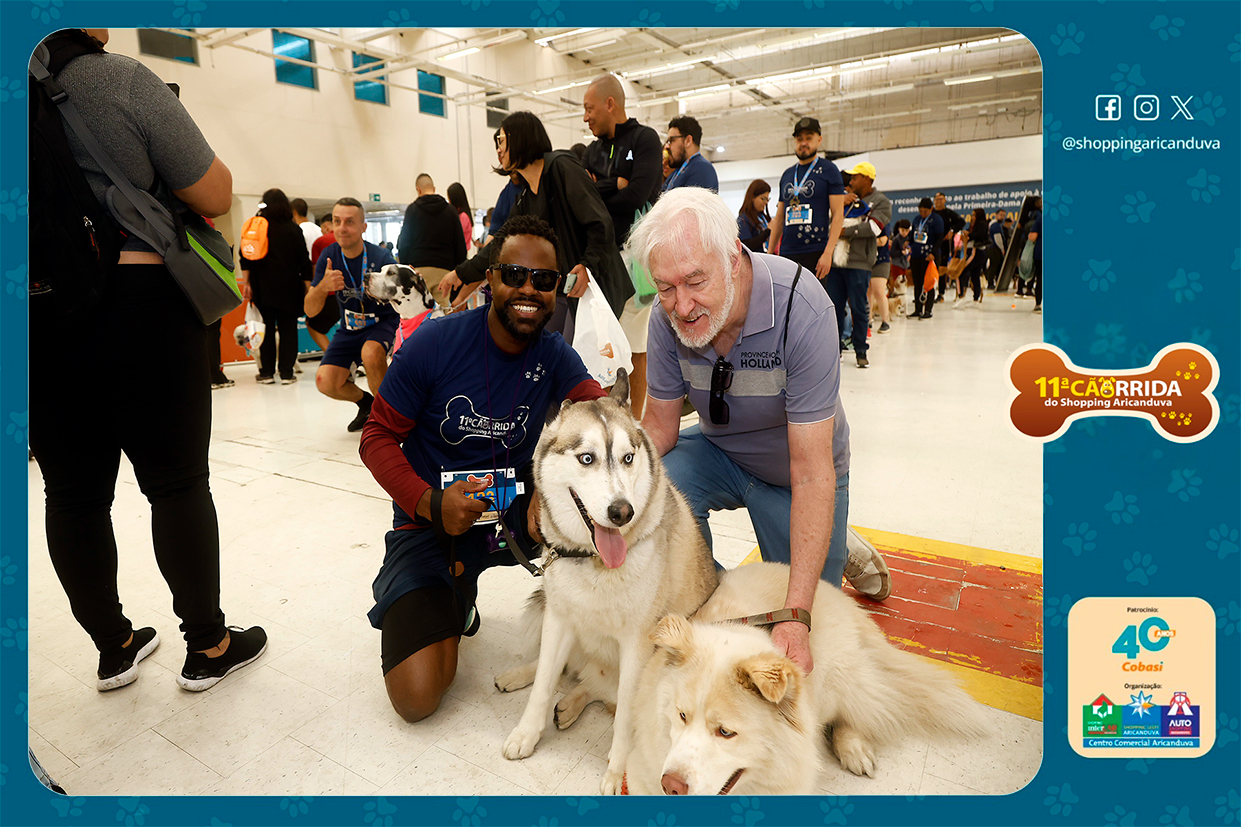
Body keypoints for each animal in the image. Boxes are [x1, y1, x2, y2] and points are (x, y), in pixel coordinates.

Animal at [494, 369, 719, 795]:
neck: (594, 561)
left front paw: (617, 772)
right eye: (587, 459)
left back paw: (572, 703)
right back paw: (524, 680)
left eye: (628, 459)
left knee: (601, 692)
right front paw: (526, 733)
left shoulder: (637, 645)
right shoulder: (560, 620)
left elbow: (625, 718)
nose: (621, 512)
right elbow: (544, 680)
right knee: (565, 670)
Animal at [625, 561, 989, 795]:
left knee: (859, 712)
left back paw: (854, 748)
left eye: (726, 732)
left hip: (836, 677)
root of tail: (834, 592)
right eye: (681, 716)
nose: (671, 785)